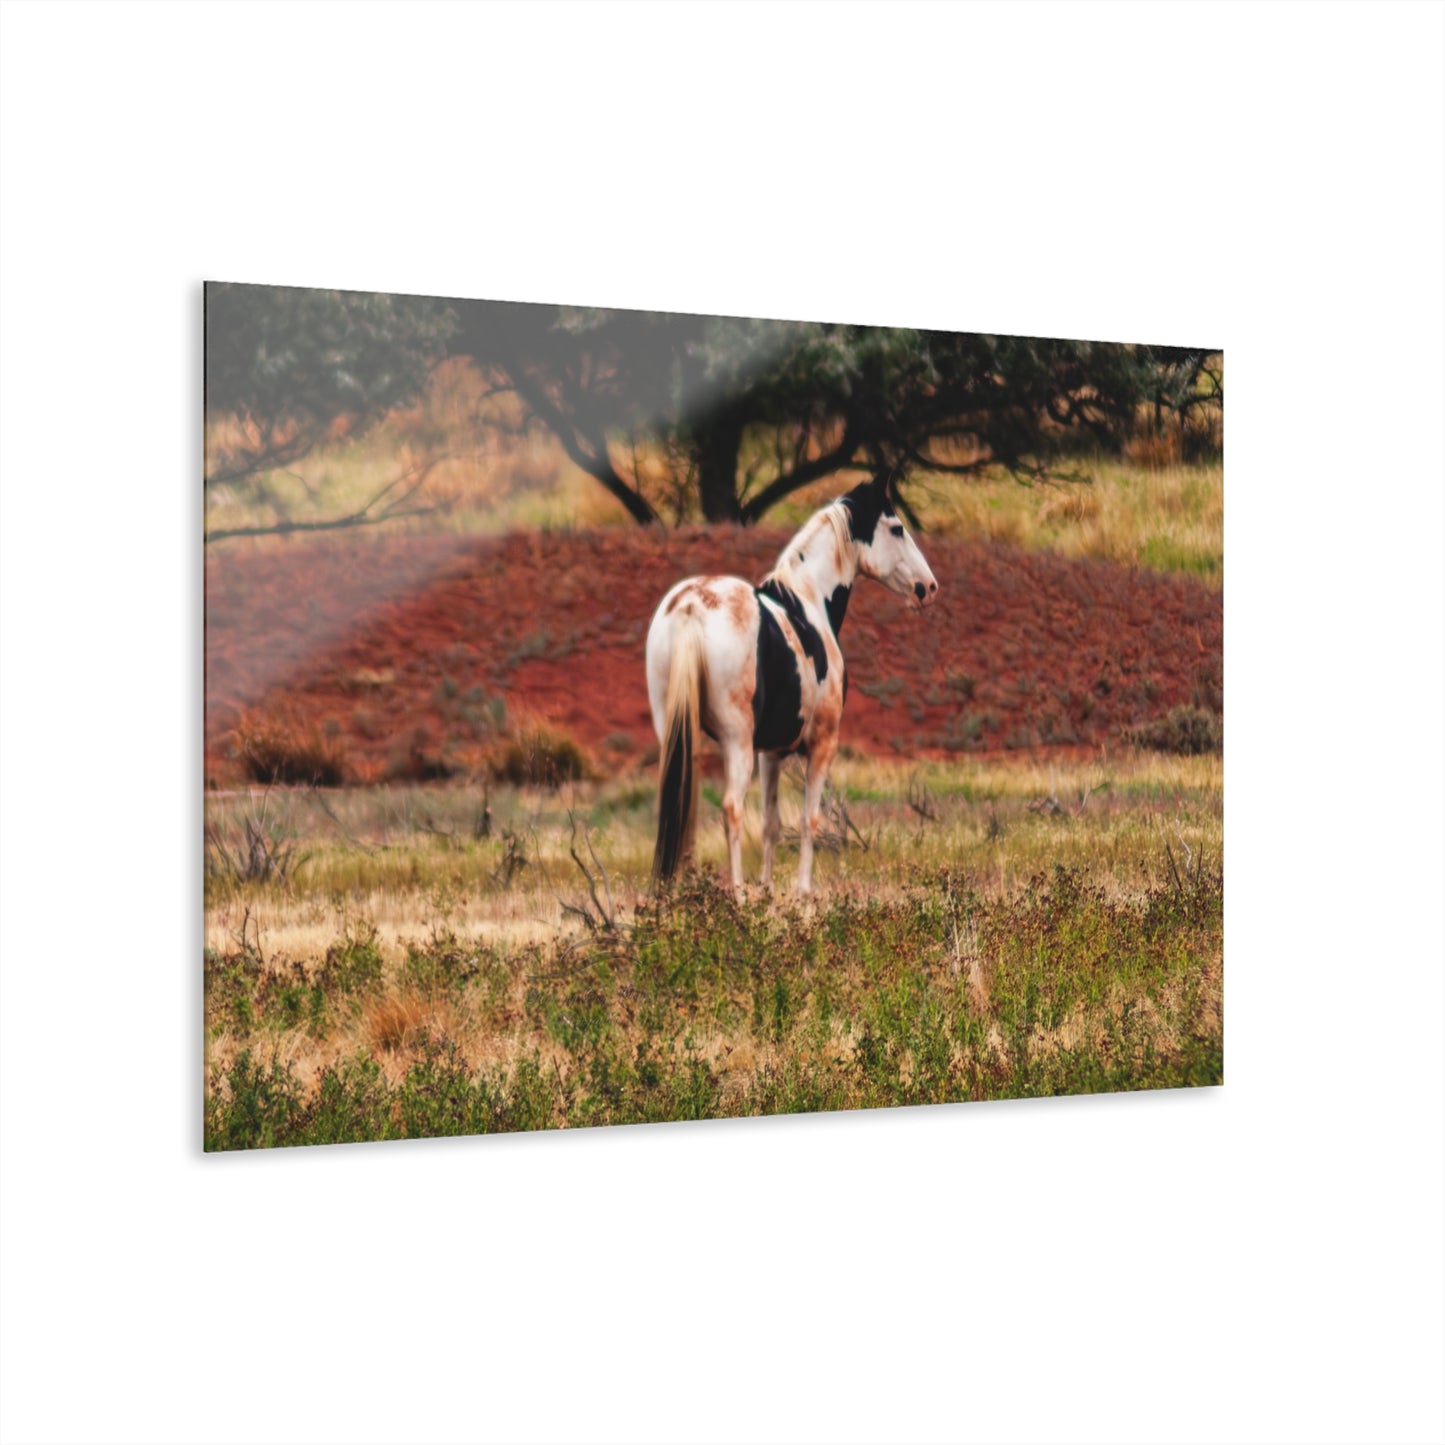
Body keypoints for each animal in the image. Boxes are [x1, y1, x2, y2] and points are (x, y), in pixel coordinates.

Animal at [645, 468, 938, 894]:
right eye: (897, 528)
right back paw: (737, 895)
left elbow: (771, 824)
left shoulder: (771, 752)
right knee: (732, 808)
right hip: (735, 740)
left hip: (676, 730)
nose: (928, 588)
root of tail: (690, 607)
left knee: (683, 804)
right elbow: (808, 820)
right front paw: (802, 893)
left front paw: (768, 891)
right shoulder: (820, 745)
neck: (807, 601)